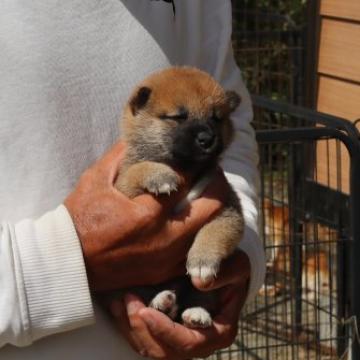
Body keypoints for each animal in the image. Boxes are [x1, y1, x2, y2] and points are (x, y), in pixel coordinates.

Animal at [115, 66, 245, 328]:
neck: (185, 167)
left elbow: (214, 231)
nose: (208, 139)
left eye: (216, 118)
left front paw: (202, 260)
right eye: (178, 117)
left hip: (204, 291)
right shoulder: (123, 188)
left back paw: (195, 313)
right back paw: (162, 302)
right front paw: (159, 175)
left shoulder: (227, 206)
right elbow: (136, 170)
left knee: (199, 299)